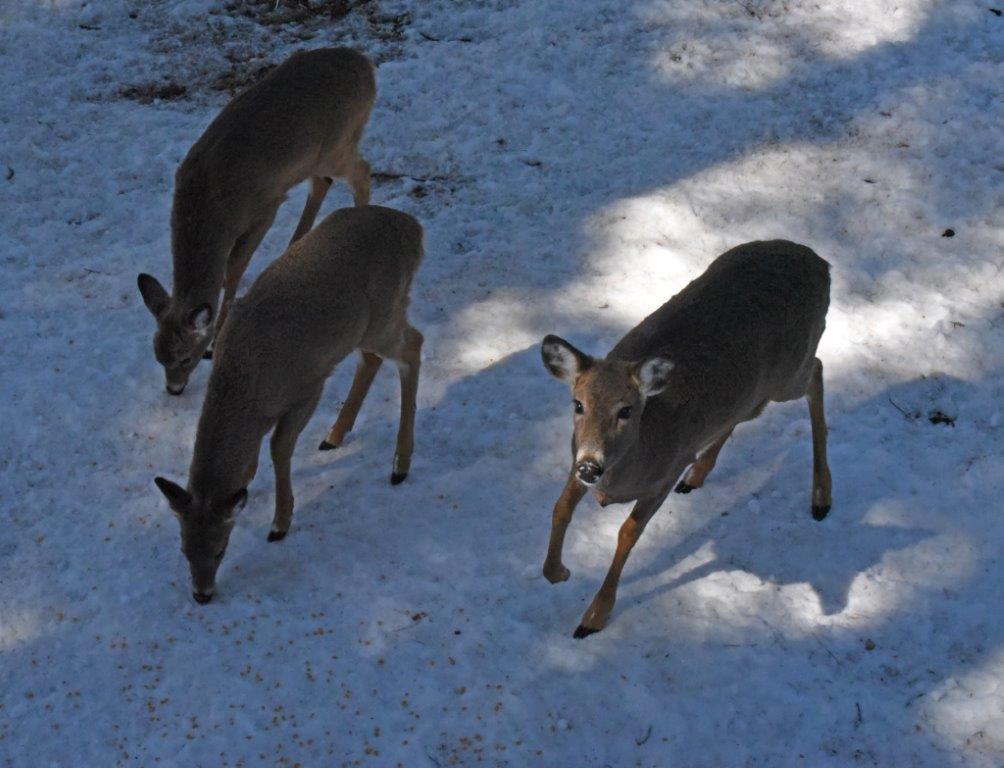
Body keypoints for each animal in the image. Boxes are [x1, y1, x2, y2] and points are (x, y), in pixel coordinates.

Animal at [137, 47, 376, 395]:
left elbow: (233, 270)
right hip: (315, 157)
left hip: (337, 144)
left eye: (185, 357)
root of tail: (366, 66)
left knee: (362, 171)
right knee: (323, 182)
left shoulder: (264, 207)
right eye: (157, 356)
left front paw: (218, 336)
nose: (174, 389)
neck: (212, 209)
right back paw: (297, 242)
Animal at [153, 205, 424, 604]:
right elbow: (250, 465)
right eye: (185, 549)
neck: (248, 387)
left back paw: (399, 464)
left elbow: (279, 448)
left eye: (220, 549)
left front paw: (280, 523)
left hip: (384, 316)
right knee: (375, 358)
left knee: (413, 346)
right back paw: (334, 435)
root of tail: (414, 231)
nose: (202, 595)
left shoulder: (307, 387)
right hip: (363, 328)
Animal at [540, 240, 832, 638]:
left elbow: (628, 532)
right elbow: (560, 507)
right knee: (747, 410)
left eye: (626, 410)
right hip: (753, 391)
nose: (591, 466)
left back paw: (820, 497)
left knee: (816, 371)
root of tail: (819, 262)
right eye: (578, 403)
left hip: (788, 371)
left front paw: (593, 618)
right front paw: (557, 572)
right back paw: (697, 476)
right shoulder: (578, 456)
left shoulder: (666, 471)